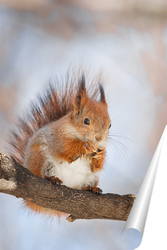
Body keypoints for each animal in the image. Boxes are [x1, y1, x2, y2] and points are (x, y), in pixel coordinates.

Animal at [8, 73, 111, 216]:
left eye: (110, 125)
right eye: (86, 121)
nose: (99, 138)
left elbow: (96, 166)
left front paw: (101, 154)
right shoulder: (57, 137)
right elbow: (65, 149)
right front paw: (85, 146)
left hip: (92, 177)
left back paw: (91, 188)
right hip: (40, 157)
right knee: (41, 174)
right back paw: (52, 179)